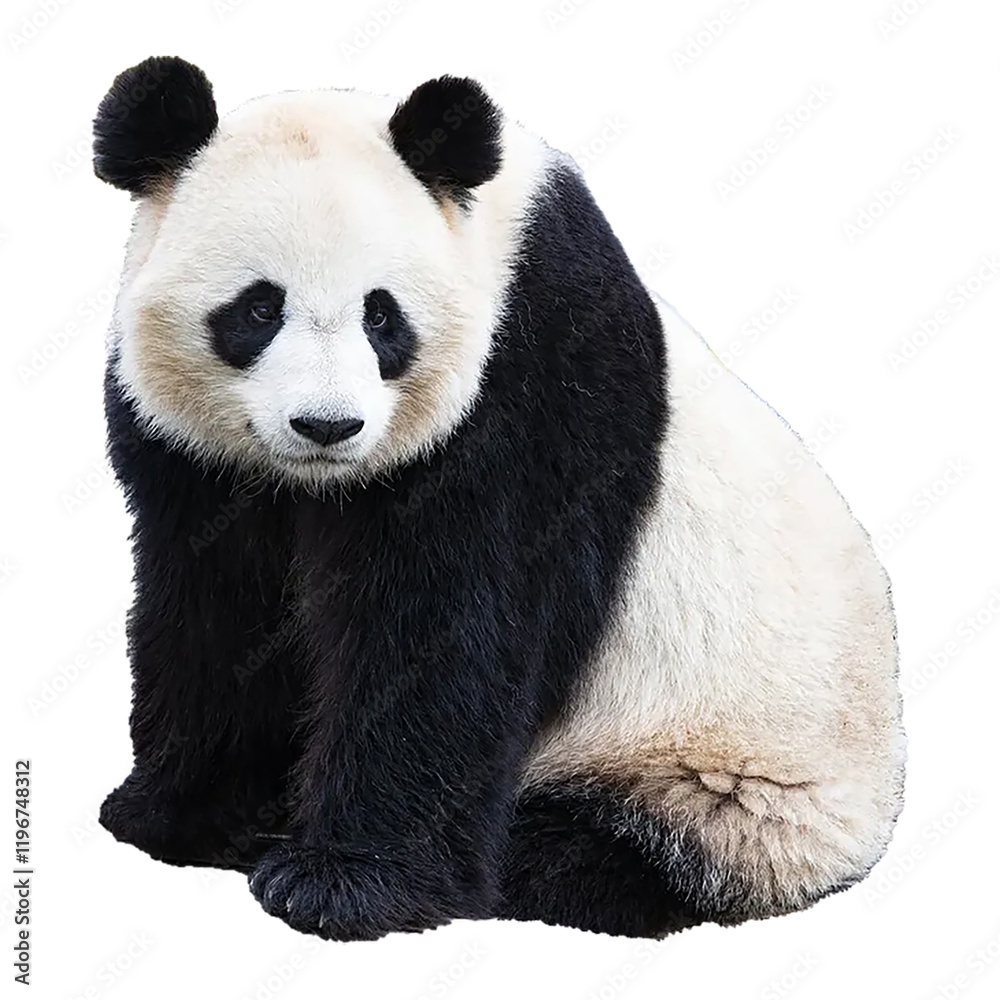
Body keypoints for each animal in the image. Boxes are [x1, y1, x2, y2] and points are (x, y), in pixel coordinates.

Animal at [93, 56, 905, 941]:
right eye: (258, 308)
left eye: (383, 316)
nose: (327, 425)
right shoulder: (198, 462)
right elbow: (217, 603)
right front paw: (186, 813)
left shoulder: (532, 379)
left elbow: (451, 626)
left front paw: (341, 883)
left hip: (725, 773)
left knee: (632, 844)